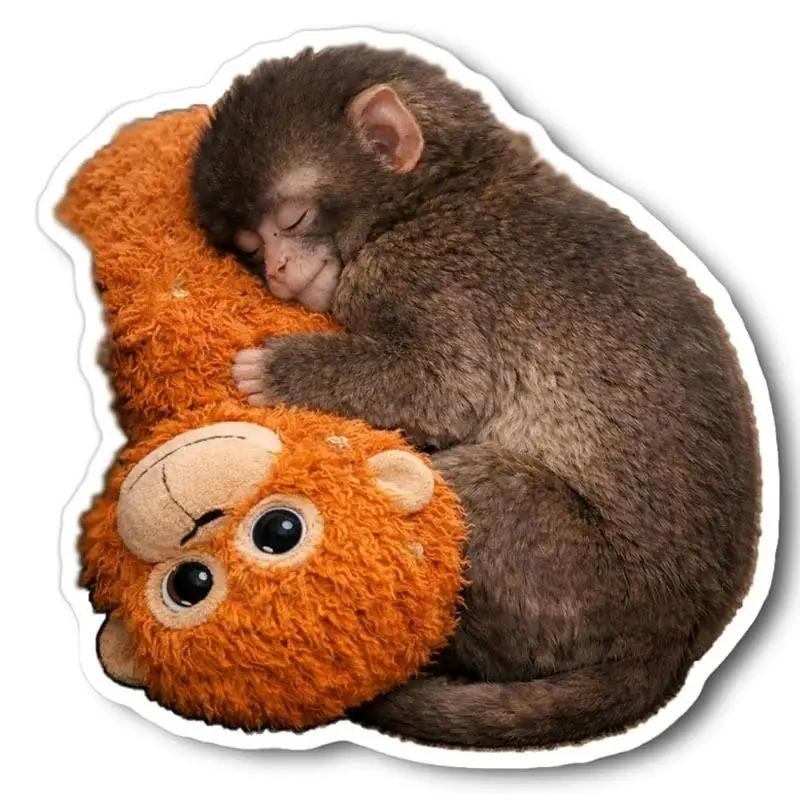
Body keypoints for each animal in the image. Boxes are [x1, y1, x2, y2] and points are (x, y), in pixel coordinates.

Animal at [190, 45, 761, 749]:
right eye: (248, 249)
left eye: (290, 220)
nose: (275, 271)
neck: (439, 194)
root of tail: (675, 641)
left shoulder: (418, 270)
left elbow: (446, 386)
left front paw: (275, 372)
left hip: (581, 580)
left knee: (465, 483)